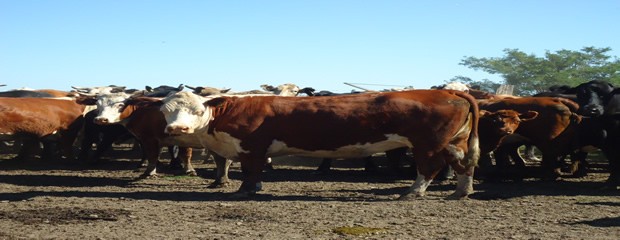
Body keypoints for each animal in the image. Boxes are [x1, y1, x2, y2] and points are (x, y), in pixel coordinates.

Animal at [159, 89, 480, 200]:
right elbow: (257, 172)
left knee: (430, 167)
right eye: (165, 111)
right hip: (453, 142)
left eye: (197, 110)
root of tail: (449, 91)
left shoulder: (252, 146)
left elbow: (251, 171)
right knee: (463, 163)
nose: (177, 128)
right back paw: (461, 192)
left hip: (427, 144)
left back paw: (412, 193)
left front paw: (245, 190)